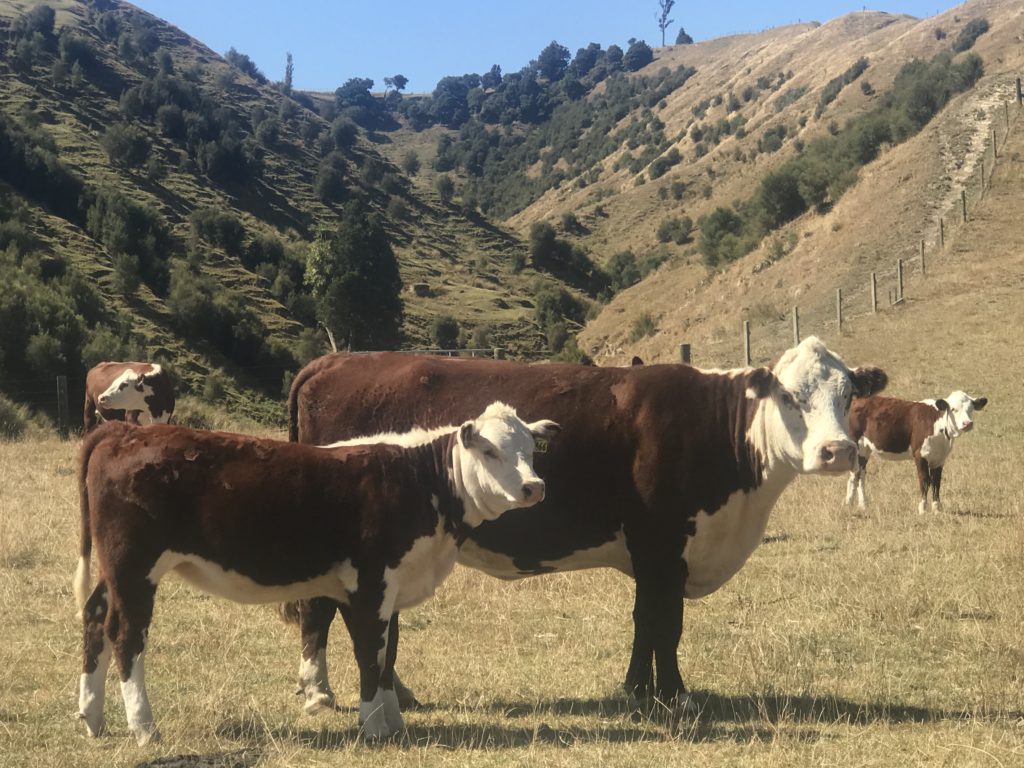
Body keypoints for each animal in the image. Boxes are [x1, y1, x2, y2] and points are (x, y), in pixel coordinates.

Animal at [74, 403, 561, 745]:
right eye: (490, 450)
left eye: (530, 451)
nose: (534, 487)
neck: (419, 480)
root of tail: (124, 431)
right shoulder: (368, 584)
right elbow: (370, 654)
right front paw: (374, 725)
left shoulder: (393, 587)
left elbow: (389, 654)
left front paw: (394, 720)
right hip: (135, 566)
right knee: (125, 633)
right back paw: (144, 727)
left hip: (115, 570)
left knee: (95, 616)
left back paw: (92, 716)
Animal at [284, 335, 884, 716]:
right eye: (789, 395)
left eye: (849, 393)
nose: (837, 451)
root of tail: (333, 360)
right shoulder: (662, 543)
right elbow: (666, 624)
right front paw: (675, 695)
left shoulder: (652, 552)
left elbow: (645, 621)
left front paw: (637, 690)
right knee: (318, 608)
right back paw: (317, 691)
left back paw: (397, 691)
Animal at [843, 391, 987, 518]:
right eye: (953, 409)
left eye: (971, 409)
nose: (967, 423)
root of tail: (857, 400)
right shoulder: (920, 455)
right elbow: (924, 480)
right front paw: (922, 508)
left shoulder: (939, 459)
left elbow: (936, 482)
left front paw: (937, 509)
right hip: (858, 446)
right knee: (856, 475)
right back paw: (852, 503)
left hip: (865, 450)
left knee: (859, 474)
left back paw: (859, 504)